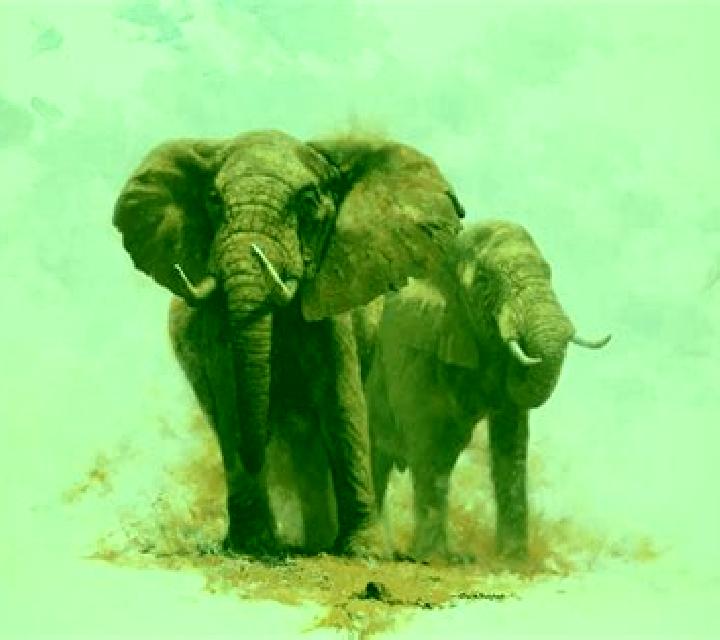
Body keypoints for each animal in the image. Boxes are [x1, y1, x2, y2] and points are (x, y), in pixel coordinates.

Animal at [112, 130, 463, 556]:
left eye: (308, 201)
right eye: (213, 199)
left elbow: (340, 400)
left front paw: (364, 552)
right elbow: (230, 394)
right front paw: (253, 545)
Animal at [362, 220, 610, 561]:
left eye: (548, 272)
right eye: (484, 282)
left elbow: (511, 442)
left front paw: (512, 559)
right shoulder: (413, 330)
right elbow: (426, 436)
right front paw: (437, 559)